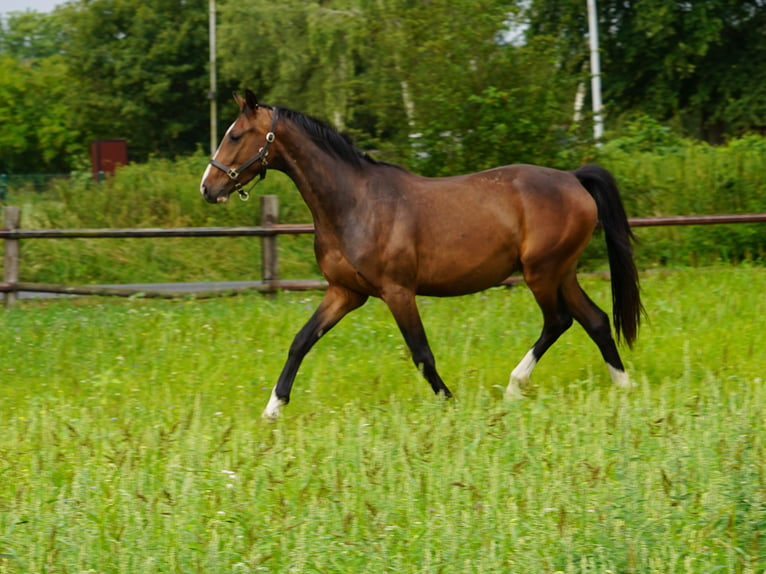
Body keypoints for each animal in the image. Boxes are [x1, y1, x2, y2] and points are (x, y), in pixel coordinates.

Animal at [201, 92, 644, 420]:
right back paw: (624, 386)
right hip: (562, 272)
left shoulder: (398, 291)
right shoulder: (344, 292)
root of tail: (573, 179)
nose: (208, 187)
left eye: (236, 135)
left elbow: (421, 354)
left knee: (558, 321)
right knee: (596, 321)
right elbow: (301, 341)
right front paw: (272, 409)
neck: (354, 203)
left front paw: (450, 402)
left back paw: (515, 386)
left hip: (542, 273)